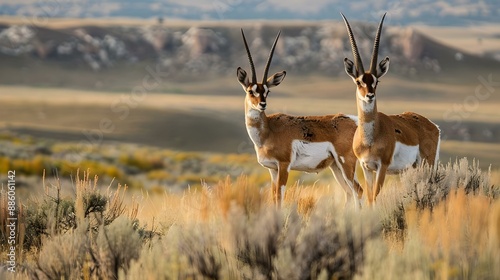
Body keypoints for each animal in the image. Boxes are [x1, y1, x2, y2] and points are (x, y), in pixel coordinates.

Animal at [238, 29, 364, 207]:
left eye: (267, 91)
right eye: (251, 91)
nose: (262, 104)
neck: (267, 131)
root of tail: (354, 121)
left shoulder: (284, 166)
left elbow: (280, 197)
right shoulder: (272, 169)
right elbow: (274, 197)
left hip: (346, 163)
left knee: (358, 191)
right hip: (336, 167)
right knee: (349, 193)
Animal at [340, 13, 442, 203]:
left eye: (376, 81)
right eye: (358, 82)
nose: (369, 96)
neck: (370, 137)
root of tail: (433, 126)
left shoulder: (383, 166)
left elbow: (374, 196)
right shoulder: (367, 167)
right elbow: (369, 197)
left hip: (428, 164)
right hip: (415, 167)